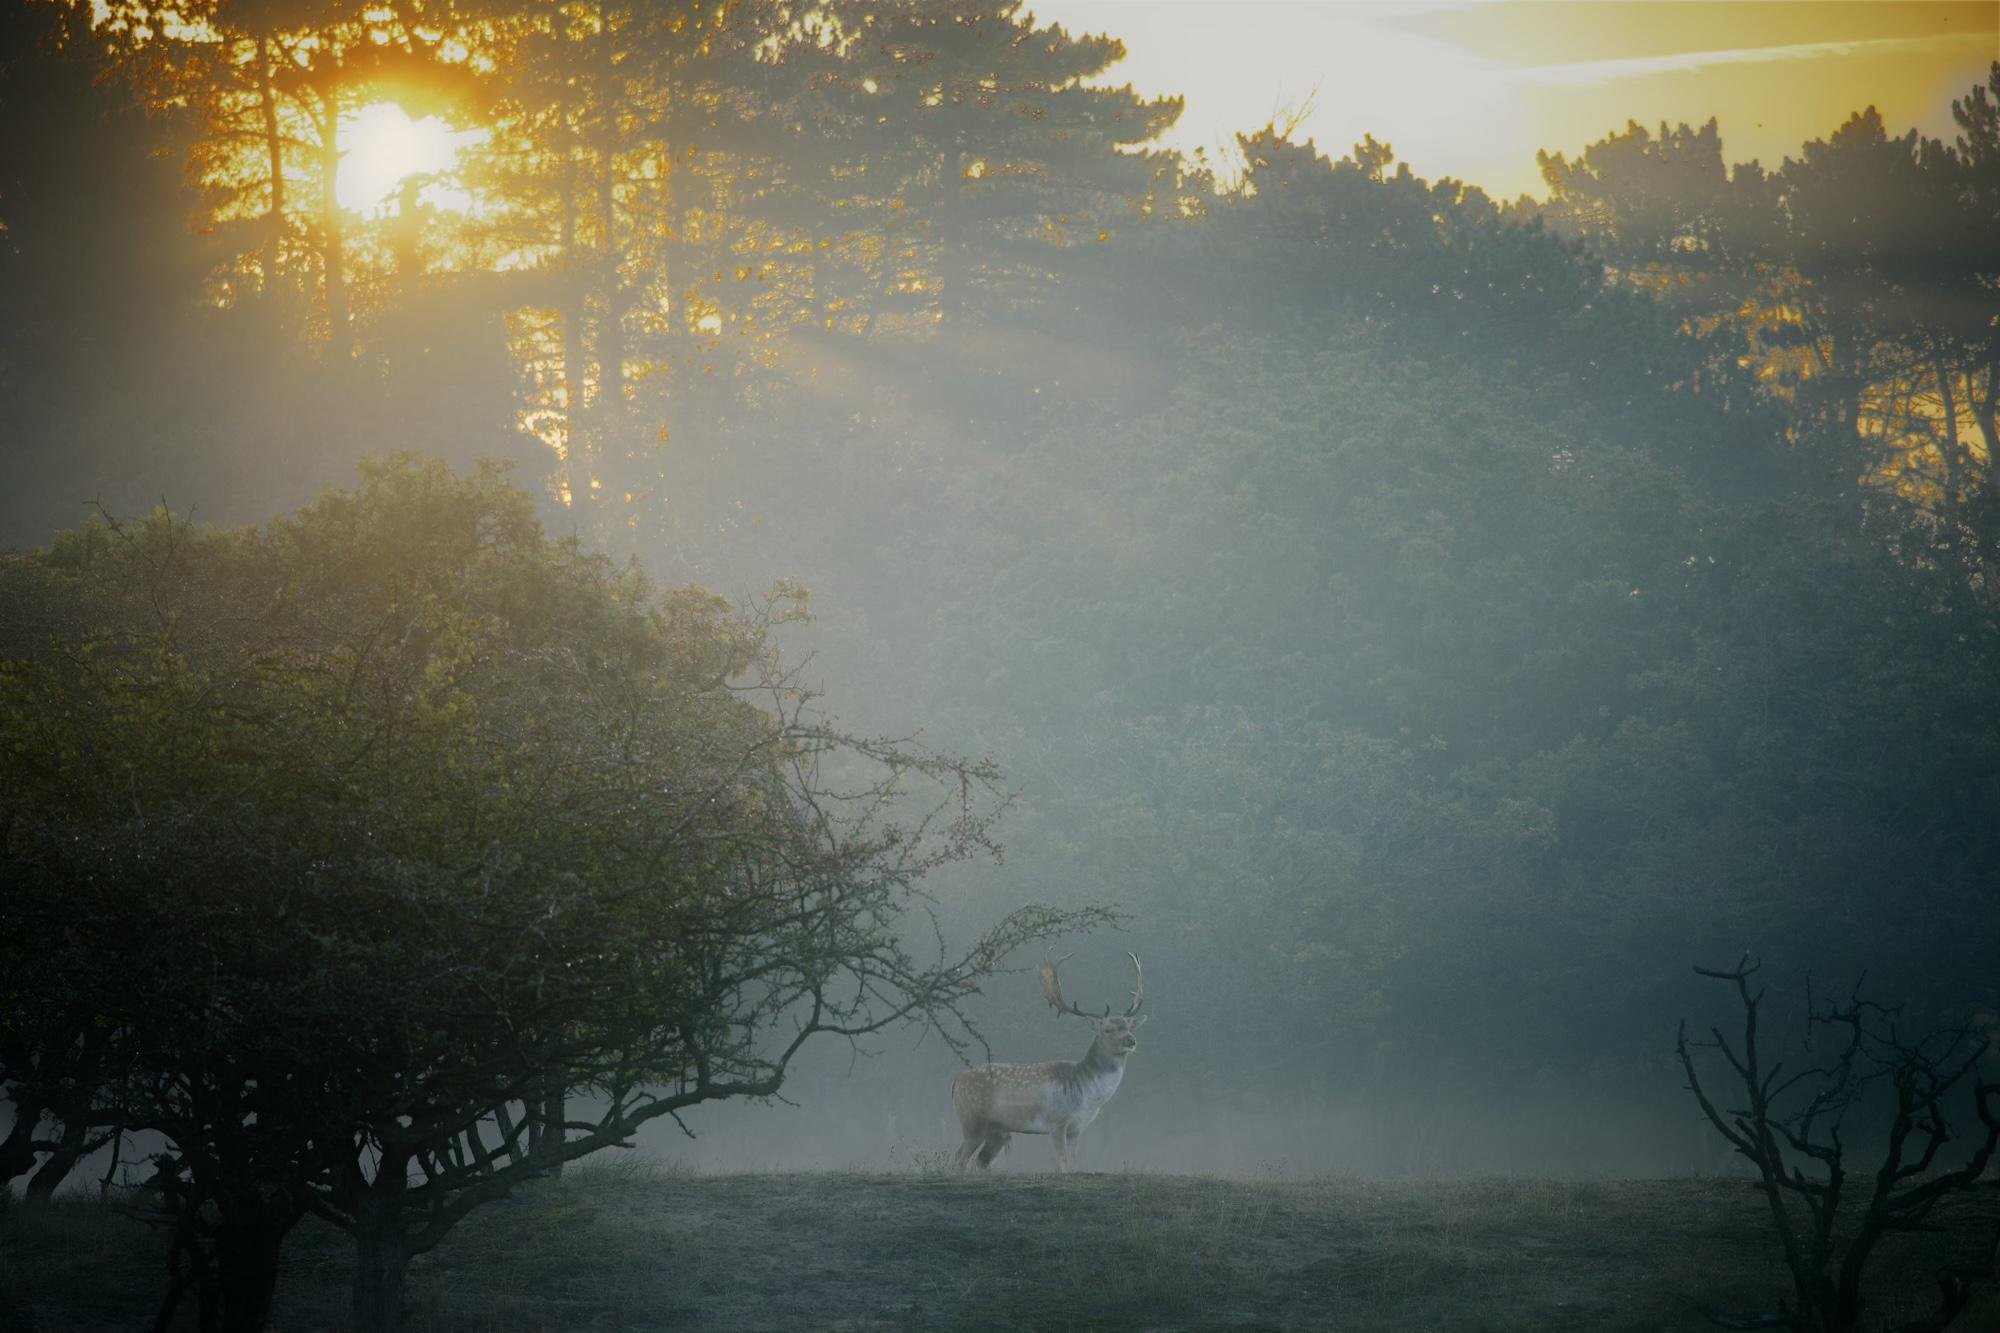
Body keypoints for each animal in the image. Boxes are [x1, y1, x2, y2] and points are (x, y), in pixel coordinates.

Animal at [951, 951, 1145, 1173]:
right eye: (1107, 1029)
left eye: (1128, 1027)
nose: (1131, 1040)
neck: (1087, 1096)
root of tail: (956, 1082)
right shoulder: (1057, 1121)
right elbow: (1063, 1163)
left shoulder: (1077, 1128)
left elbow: (1074, 1163)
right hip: (971, 1120)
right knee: (961, 1158)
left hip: (996, 1130)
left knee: (977, 1159)